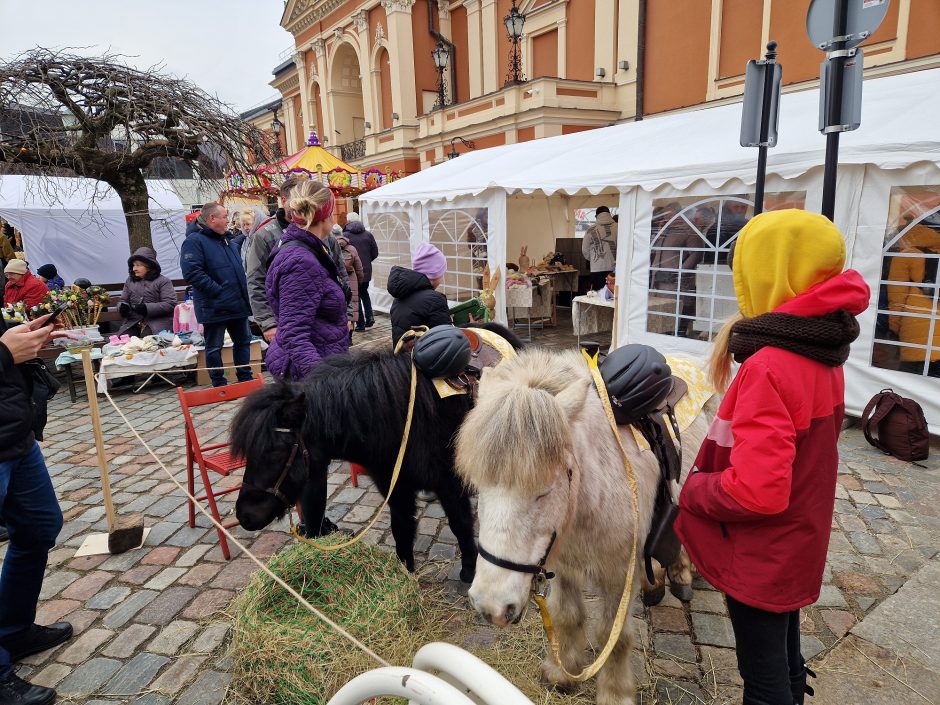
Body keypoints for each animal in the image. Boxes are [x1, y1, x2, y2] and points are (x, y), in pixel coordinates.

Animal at [228, 322, 520, 580]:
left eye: (276, 452)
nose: (245, 515)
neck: (402, 419)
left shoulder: (449, 483)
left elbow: (460, 524)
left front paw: (470, 571)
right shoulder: (396, 487)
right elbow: (401, 528)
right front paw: (405, 575)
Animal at [454, 346, 712, 704]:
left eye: (544, 490)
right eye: (478, 486)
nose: (491, 607)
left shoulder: (619, 576)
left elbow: (613, 636)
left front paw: (615, 693)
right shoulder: (563, 565)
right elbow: (568, 616)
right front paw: (561, 673)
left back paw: (682, 574)